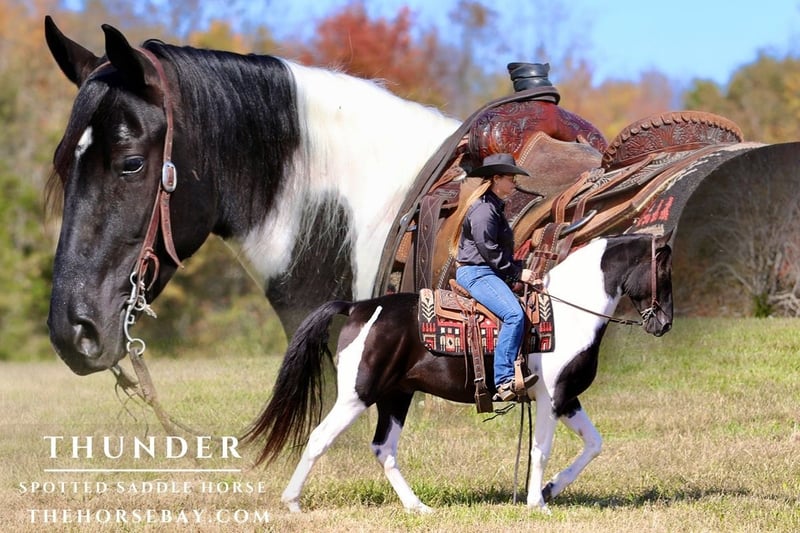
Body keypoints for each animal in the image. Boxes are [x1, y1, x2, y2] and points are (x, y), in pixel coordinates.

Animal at [243, 232, 674, 512]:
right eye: (664, 272)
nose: (664, 324)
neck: (568, 312)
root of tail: (359, 307)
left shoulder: (567, 398)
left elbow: (594, 444)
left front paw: (551, 490)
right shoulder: (551, 398)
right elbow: (541, 450)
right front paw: (537, 504)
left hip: (396, 397)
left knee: (384, 449)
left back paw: (418, 508)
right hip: (357, 395)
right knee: (320, 438)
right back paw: (293, 502)